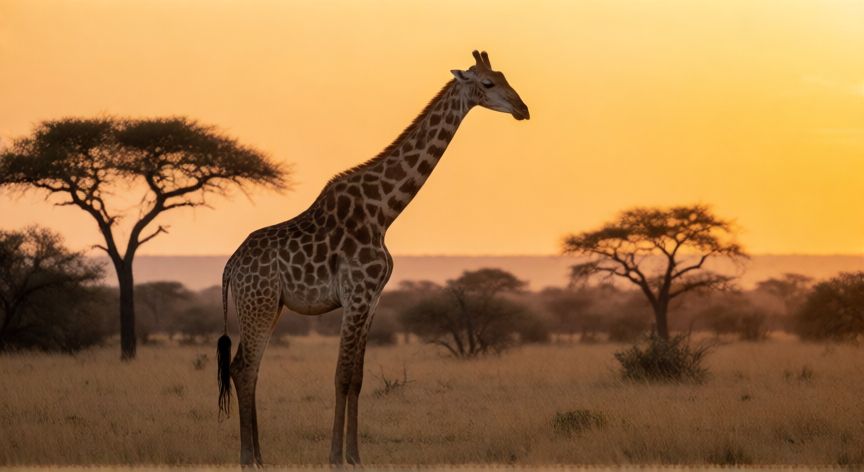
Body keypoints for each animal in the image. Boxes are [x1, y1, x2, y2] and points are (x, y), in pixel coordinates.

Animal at [216, 50, 529, 467]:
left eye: (504, 76)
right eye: (488, 83)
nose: (523, 109)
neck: (384, 211)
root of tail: (231, 266)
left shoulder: (373, 299)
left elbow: (357, 378)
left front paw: (355, 456)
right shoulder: (356, 294)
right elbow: (341, 376)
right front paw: (336, 457)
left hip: (271, 305)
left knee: (247, 368)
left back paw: (260, 457)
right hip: (260, 303)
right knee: (244, 367)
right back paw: (249, 458)